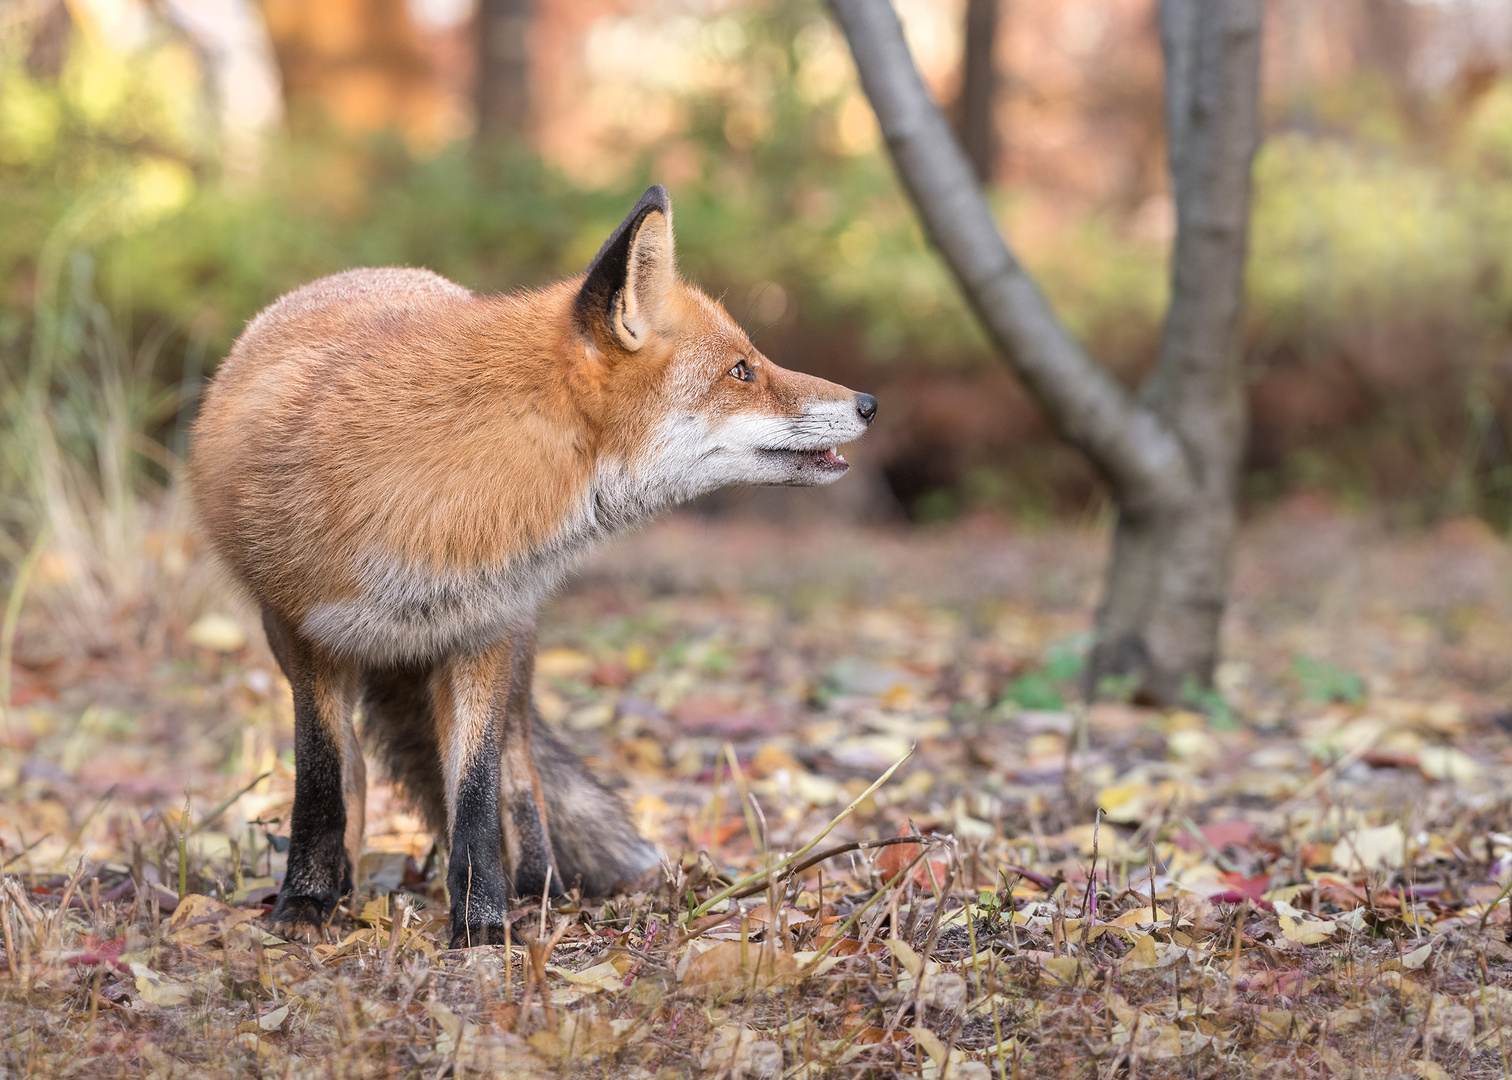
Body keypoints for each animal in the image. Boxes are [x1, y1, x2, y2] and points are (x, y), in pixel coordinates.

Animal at [189, 187, 876, 943]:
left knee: (520, 771)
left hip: (518, 645)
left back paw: (538, 887)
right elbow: (320, 779)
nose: (869, 403)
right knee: (356, 775)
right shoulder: (302, 629)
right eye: (742, 370)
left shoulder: (483, 628)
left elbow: (477, 793)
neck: (445, 491)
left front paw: (483, 921)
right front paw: (307, 899)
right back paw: (345, 881)